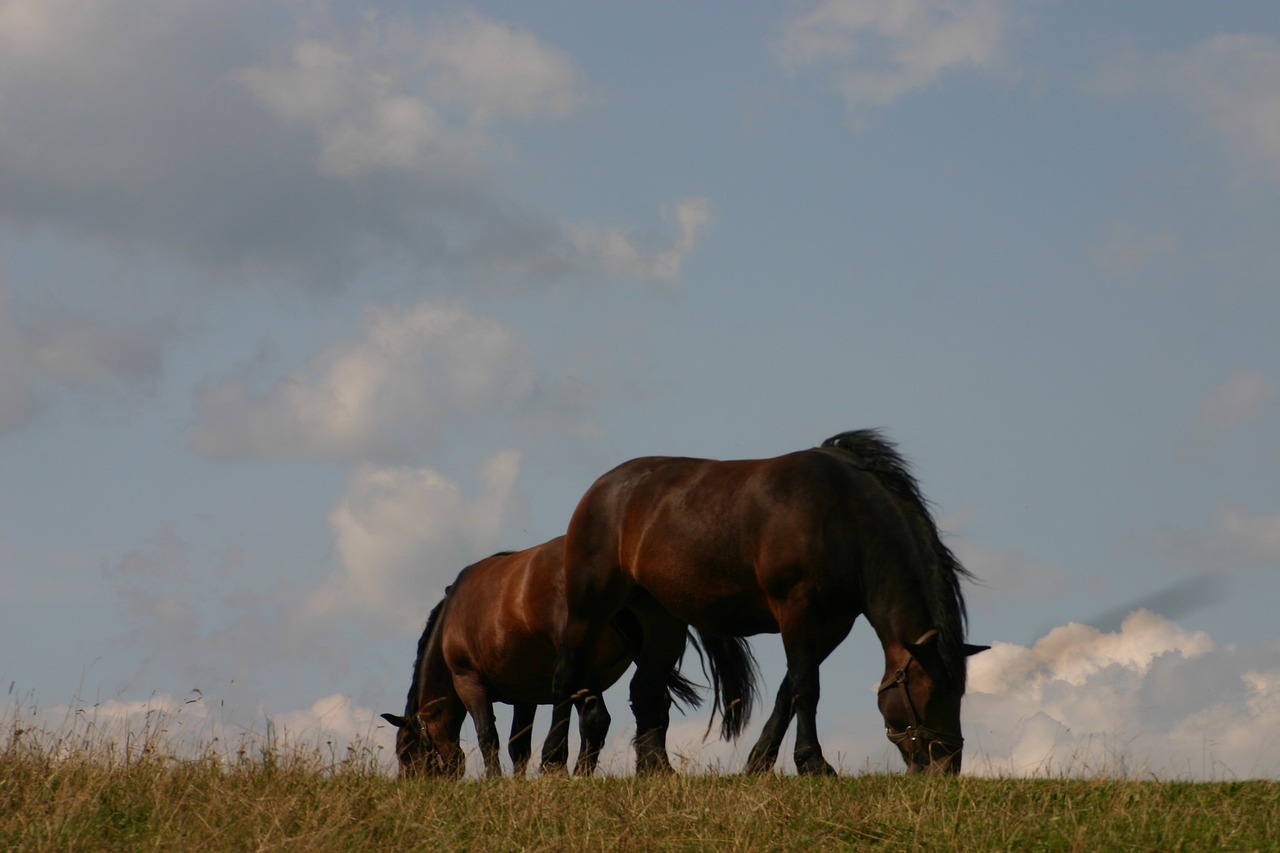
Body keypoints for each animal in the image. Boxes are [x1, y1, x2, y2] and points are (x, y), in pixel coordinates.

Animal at [384, 537, 752, 778]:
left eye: (406, 752)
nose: (410, 787)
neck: (454, 616)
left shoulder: (469, 682)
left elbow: (489, 736)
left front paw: (496, 781)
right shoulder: (525, 695)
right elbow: (519, 744)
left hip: (579, 666)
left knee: (593, 717)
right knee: (646, 708)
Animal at [552, 427, 988, 773]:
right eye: (932, 691)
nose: (947, 765)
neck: (840, 516)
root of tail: (602, 489)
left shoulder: (831, 625)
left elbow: (788, 691)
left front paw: (759, 763)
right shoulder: (798, 609)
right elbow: (806, 688)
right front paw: (813, 763)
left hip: (662, 621)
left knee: (645, 690)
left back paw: (657, 770)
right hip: (590, 609)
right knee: (567, 676)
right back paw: (554, 762)